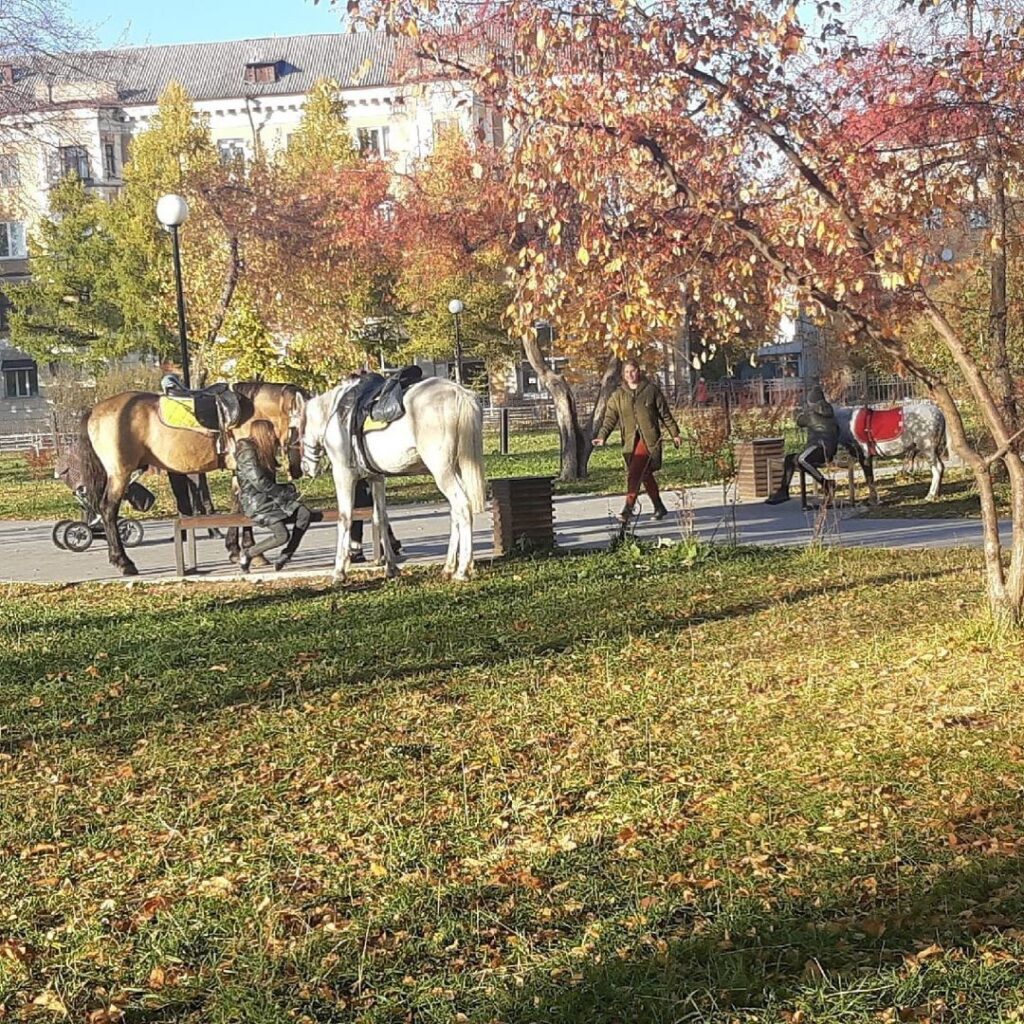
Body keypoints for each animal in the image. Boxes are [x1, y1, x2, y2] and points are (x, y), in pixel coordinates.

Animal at [77, 385, 305, 577]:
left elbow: (239, 507)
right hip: (120, 473)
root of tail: (94, 410)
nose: (297, 469)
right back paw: (123, 562)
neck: (253, 413)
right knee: (108, 509)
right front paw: (251, 552)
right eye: (301, 426)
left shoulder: (237, 469)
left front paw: (237, 549)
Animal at [299, 378, 487, 585]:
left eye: (298, 429)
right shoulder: (376, 478)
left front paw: (339, 572)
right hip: (458, 468)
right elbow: (380, 518)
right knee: (455, 512)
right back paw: (450, 566)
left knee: (462, 506)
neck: (337, 416)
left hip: (442, 471)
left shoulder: (343, 475)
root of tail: (459, 393)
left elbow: (345, 518)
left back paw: (462, 570)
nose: (305, 468)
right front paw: (391, 567)